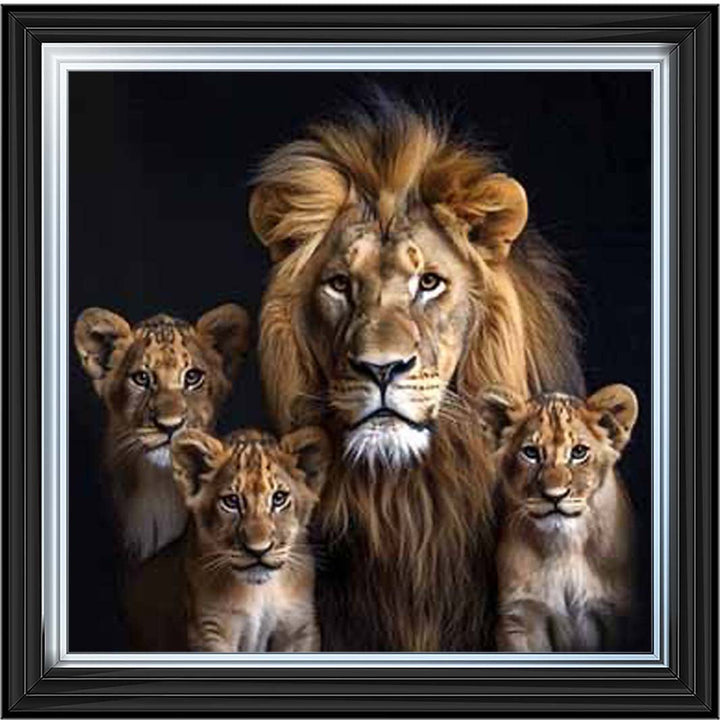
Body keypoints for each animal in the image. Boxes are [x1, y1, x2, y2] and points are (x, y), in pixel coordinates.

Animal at [125, 426, 328, 652]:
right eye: (231, 501)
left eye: (279, 498)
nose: (258, 550)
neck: (260, 591)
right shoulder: (210, 631)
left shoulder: (299, 628)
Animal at [480, 384, 638, 651]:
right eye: (531, 453)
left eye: (579, 452)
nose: (555, 496)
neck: (565, 545)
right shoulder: (521, 618)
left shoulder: (619, 612)